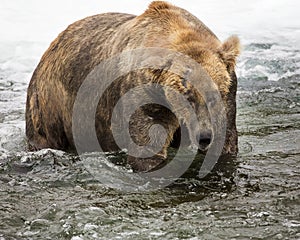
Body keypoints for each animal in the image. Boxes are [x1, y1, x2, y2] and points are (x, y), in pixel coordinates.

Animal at [26, 0, 241, 172]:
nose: (204, 136)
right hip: (50, 107)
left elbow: (225, 142)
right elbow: (147, 149)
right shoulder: (143, 97)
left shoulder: (228, 99)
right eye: (186, 94)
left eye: (214, 95)